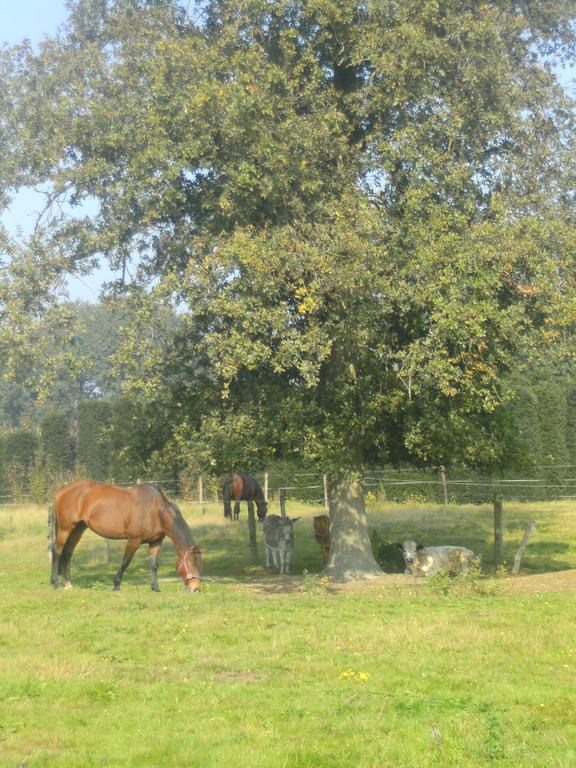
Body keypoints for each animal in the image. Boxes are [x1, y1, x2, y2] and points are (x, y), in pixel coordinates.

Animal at [49, 480, 204, 592]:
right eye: (191, 562)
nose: (195, 588)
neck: (154, 511)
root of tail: (62, 491)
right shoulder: (134, 540)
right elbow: (125, 562)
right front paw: (116, 585)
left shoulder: (155, 542)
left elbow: (154, 565)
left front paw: (155, 587)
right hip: (65, 528)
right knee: (57, 551)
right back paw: (55, 583)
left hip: (78, 529)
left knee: (68, 553)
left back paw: (68, 584)